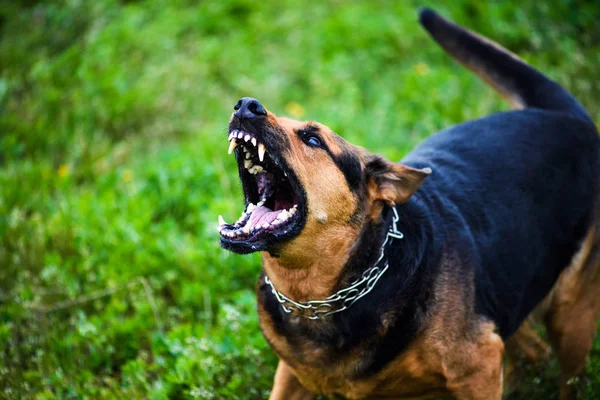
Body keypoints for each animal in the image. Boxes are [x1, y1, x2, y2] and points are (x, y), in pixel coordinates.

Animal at [219, 7, 600, 398]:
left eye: (312, 139)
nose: (246, 105)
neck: (316, 293)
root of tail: (567, 116)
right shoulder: (291, 374)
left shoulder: (478, 363)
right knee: (533, 352)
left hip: (571, 312)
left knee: (570, 374)